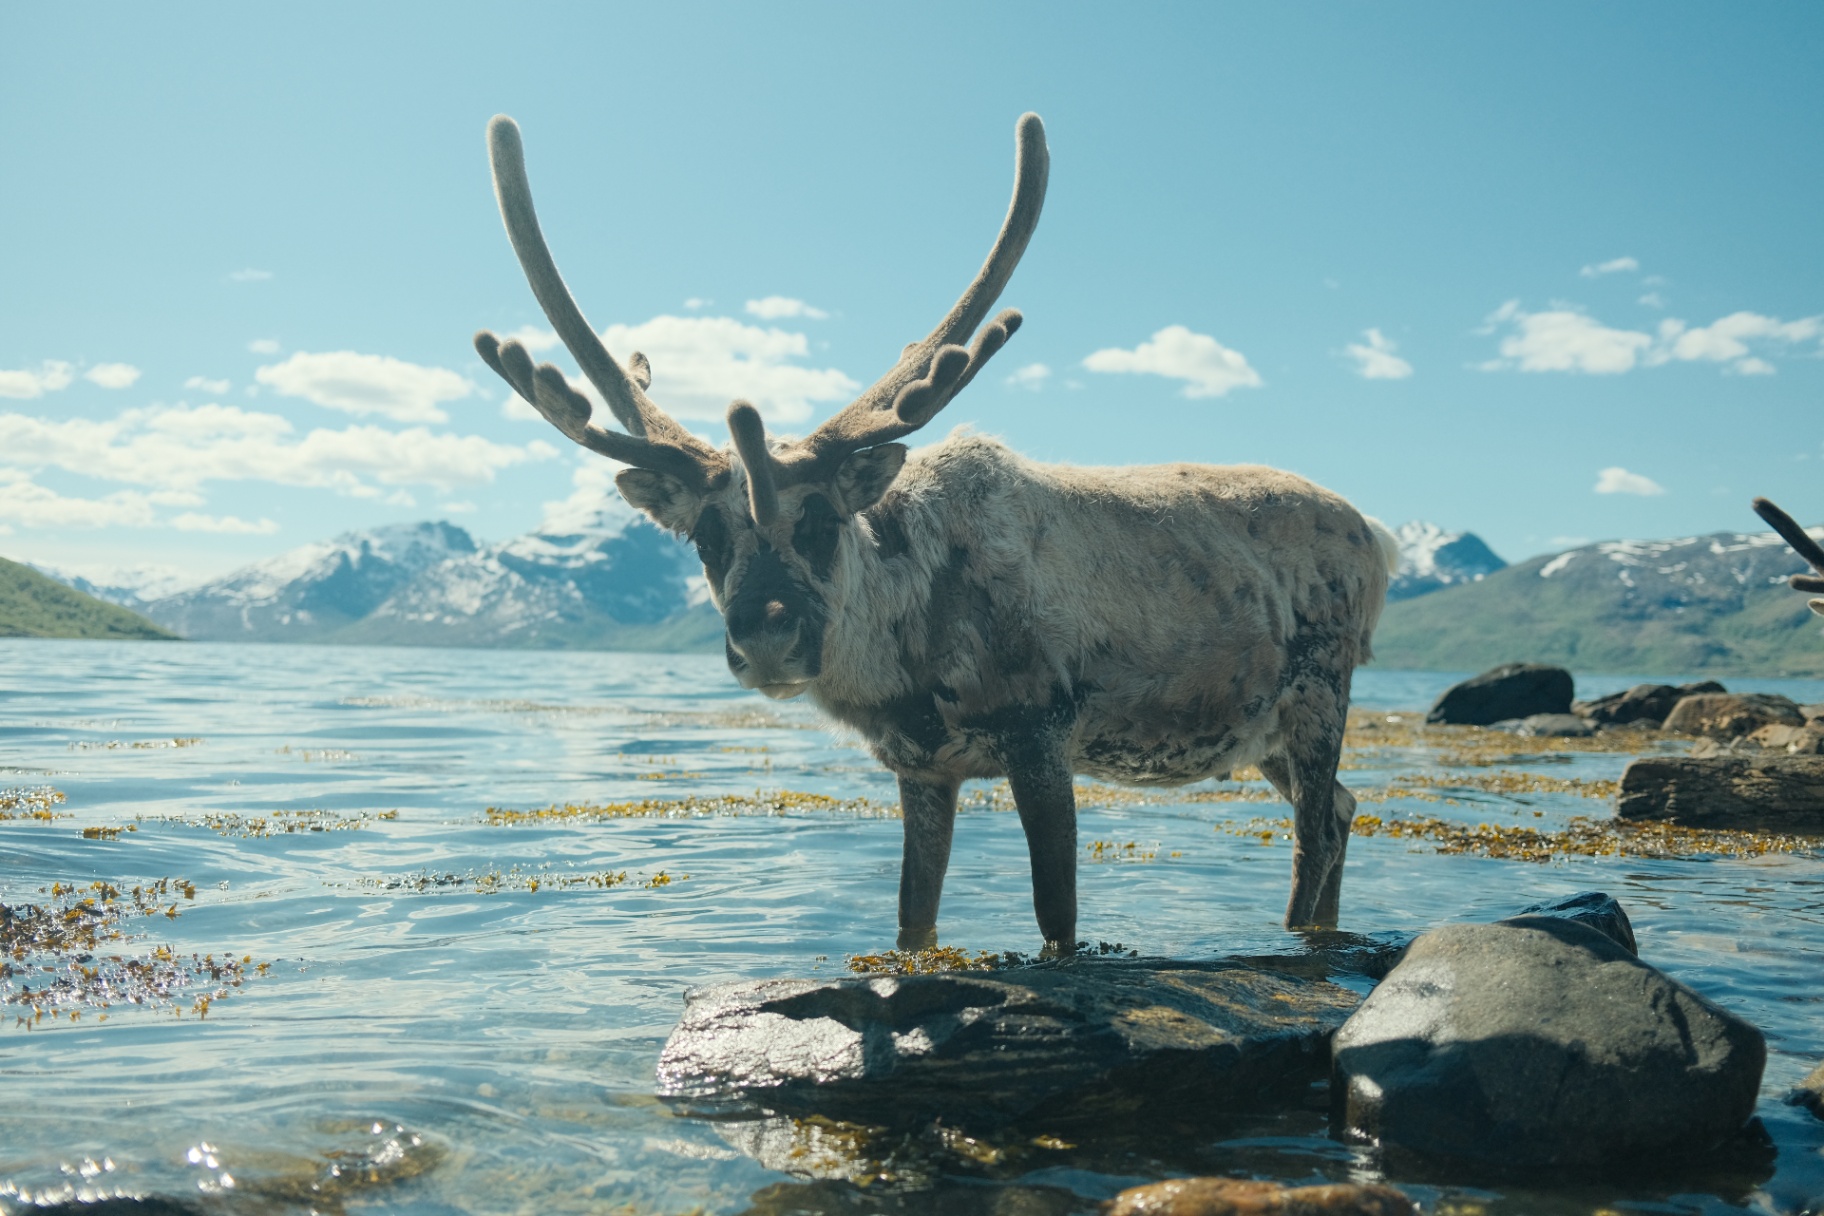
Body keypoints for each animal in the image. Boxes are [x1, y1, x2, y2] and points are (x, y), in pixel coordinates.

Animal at [473, 112, 1399, 953]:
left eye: (822, 521)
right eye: (704, 536)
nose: (768, 634)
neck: (905, 659)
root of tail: (1378, 538)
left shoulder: (1042, 732)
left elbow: (1057, 920)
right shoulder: (923, 767)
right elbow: (912, 920)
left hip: (1320, 692)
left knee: (1318, 829)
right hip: (1264, 730)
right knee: (1345, 806)